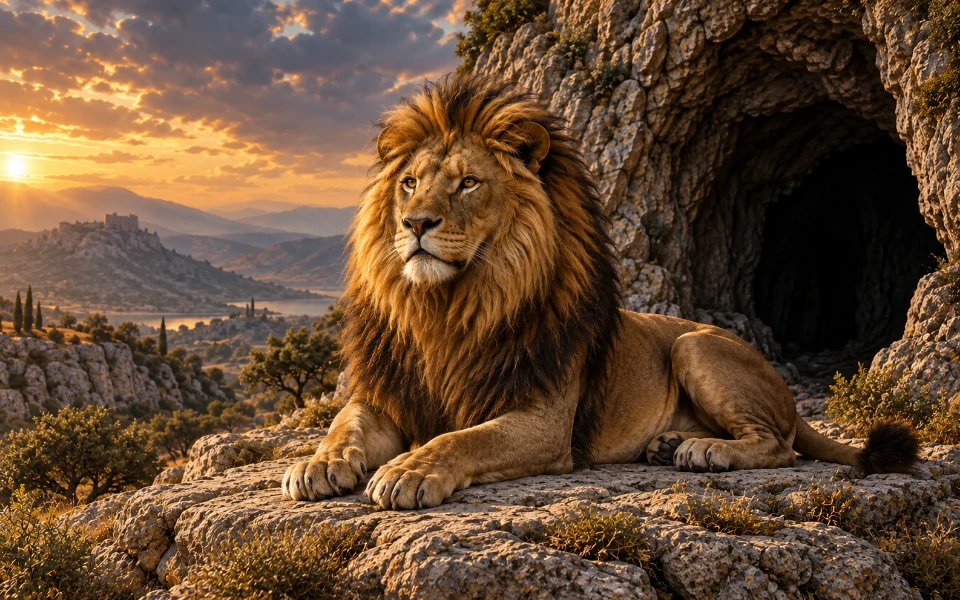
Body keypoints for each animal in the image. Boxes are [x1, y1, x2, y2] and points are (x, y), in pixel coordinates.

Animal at [282, 76, 919, 509]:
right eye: (410, 182)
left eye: (468, 183)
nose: (414, 223)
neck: (447, 308)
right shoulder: (388, 394)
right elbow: (344, 425)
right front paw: (317, 464)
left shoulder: (542, 421)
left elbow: (462, 439)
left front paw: (410, 470)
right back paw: (669, 444)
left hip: (693, 345)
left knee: (779, 445)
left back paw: (705, 451)